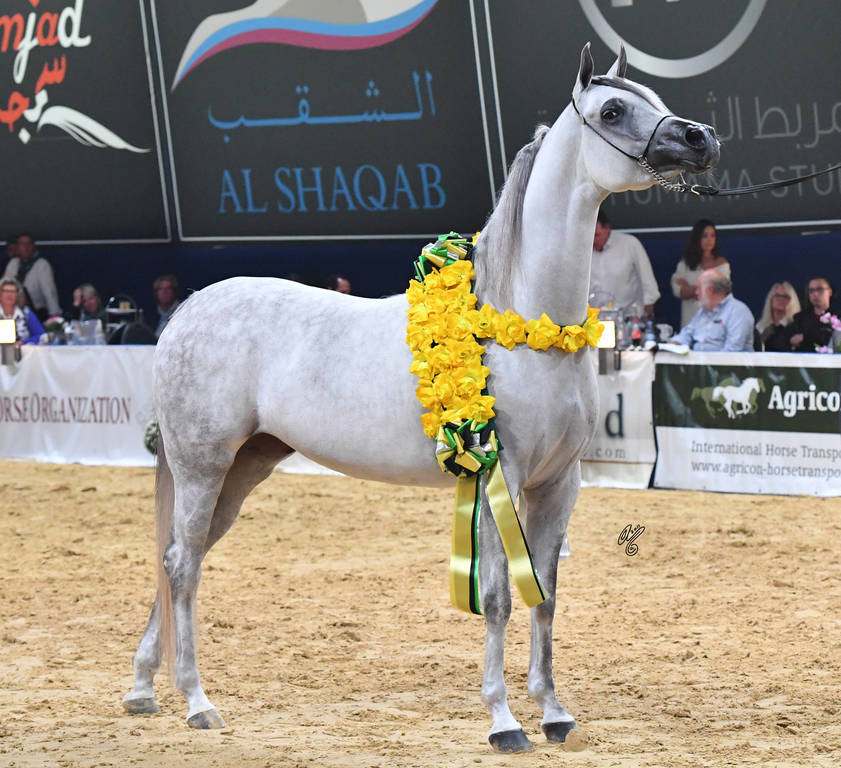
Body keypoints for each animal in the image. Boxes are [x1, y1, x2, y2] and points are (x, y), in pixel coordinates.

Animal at [123, 43, 719, 753]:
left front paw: (553, 713)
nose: (701, 138)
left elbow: (544, 595)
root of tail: (188, 310)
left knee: (175, 560)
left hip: (243, 468)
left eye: (654, 98)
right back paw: (195, 701)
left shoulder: (558, 484)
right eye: (612, 110)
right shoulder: (500, 478)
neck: (523, 319)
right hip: (203, 465)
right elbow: (499, 597)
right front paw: (503, 722)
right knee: (184, 565)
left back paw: (143, 689)